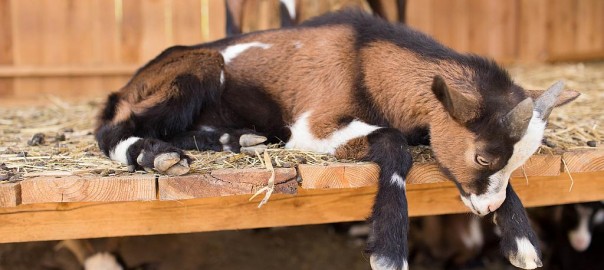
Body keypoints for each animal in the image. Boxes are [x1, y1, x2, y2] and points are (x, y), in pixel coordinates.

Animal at [95, 9, 580, 268]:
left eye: (517, 160)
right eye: (482, 158)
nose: (488, 209)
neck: (365, 59)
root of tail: (130, 81)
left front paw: (521, 243)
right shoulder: (314, 125)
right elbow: (392, 143)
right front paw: (389, 250)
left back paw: (240, 139)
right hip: (195, 69)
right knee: (113, 127)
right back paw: (156, 155)